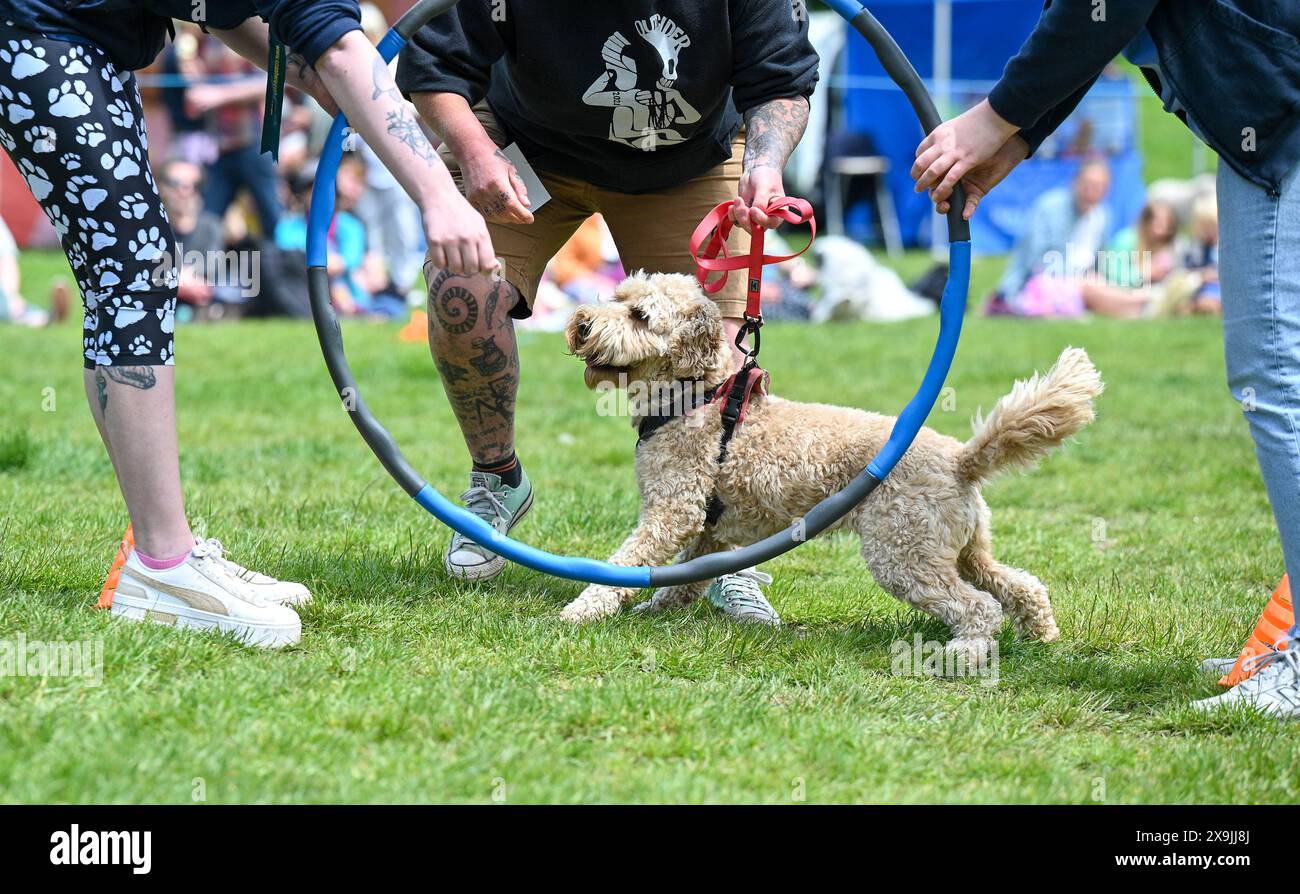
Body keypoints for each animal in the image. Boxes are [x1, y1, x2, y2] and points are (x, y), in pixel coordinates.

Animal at [564, 272, 1102, 662]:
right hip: (962, 547)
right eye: (618, 295)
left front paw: (582, 611)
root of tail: (960, 461)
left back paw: (964, 654)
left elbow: (627, 564)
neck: (693, 397)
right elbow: (687, 575)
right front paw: (657, 606)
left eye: (639, 315)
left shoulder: (673, 512)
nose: (582, 324)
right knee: (1019, 584)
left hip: (903, 554)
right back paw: (1042, 634)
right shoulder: (710, 529)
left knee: (979, 607)